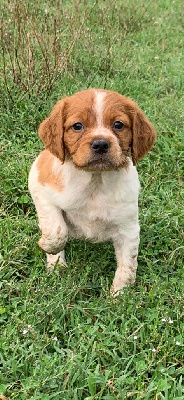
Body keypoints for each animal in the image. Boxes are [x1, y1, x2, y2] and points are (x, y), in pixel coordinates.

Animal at [28, 89, 155, 296]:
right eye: (77, 126)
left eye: (118, 124)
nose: (101, 144)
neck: (95, 182)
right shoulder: (40, 189)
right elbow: (57, 229)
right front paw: (49, 248)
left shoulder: (128, 227)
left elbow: (128, 265)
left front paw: (119, 295)